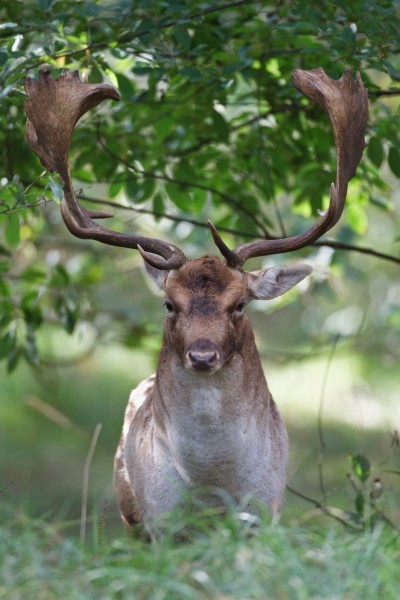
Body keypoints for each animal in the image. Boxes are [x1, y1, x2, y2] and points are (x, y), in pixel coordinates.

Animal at [25, 67, 368, 528]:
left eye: (239, 304)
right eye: (170, 304)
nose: (203, 355)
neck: (209, 491)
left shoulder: (267, 511)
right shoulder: (159, 523)